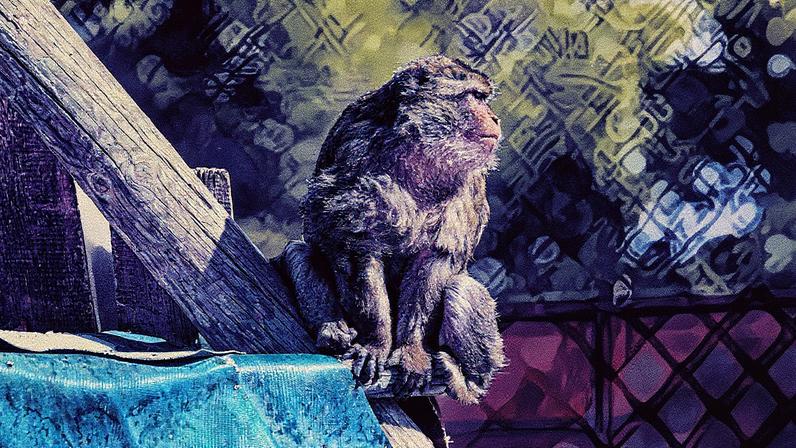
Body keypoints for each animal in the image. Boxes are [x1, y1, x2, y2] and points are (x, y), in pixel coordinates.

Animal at [278, 55, 505, 404]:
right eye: (475, 97)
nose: (494, 118)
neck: (421, 149)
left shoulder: (470, 182)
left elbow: (435, 260)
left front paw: (410, 350)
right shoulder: (357, 150)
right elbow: (359, 245)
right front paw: (377, 343)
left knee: (461, 287)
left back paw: (468, 380)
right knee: (299, 251)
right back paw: (332, 330)